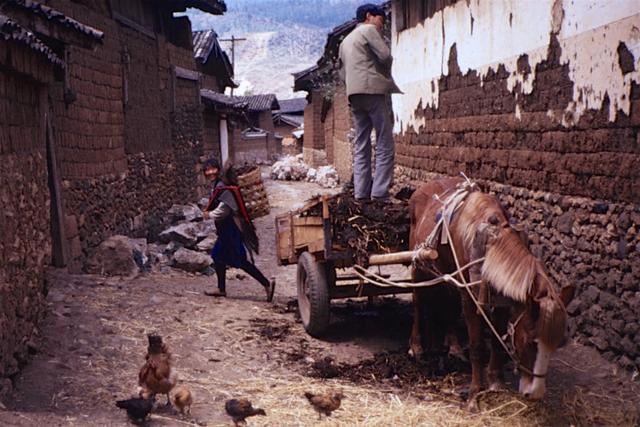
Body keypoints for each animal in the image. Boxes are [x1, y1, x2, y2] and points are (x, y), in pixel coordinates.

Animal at [410, 177, 576, 404]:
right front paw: (475, 390)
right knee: (418, 303)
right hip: (418, 266)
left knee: (449, 306)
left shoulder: (504, 299)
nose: (535, 393)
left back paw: (453, 347)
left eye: (558, 344)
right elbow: (477, 345)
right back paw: (416, 347)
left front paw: (496, 382)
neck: (490, 243)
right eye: (531, 343)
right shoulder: (470, 298)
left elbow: (497, 341)